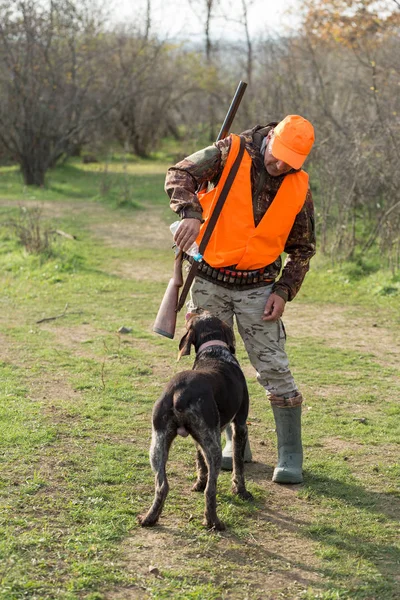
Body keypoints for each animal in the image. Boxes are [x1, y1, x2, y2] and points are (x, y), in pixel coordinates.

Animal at [139, 312, 253, 528]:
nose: (191, 311)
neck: (214, 351)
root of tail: (179, 392)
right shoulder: (240, 425)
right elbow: (239, 465)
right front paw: (241, 491)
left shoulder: (199, 438)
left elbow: (200, 462)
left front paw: (198, 484)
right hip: (215, 447)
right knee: (211, 489)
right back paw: (213, 522)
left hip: (158, 443)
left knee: (162, 485)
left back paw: (150, 517)